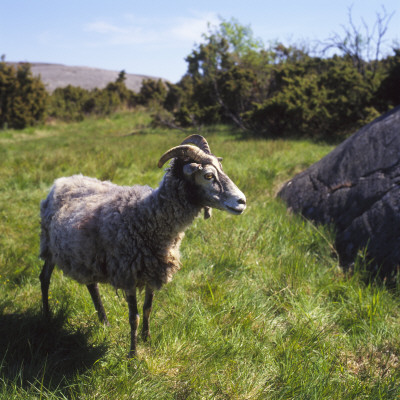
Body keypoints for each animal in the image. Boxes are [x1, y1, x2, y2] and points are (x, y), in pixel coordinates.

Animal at [40, 134, 247, 356]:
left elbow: (148, 309)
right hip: (49, 246)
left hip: (85, 254)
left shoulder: (153, 271)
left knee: (91, 285)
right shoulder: (128, 273)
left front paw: (147, 338)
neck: (147, 215)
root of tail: (63, 179)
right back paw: (47, 317)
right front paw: (133, 354)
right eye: (208, 176)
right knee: (44, 278)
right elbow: (134, 317)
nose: (242, 201)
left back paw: (104, 322)